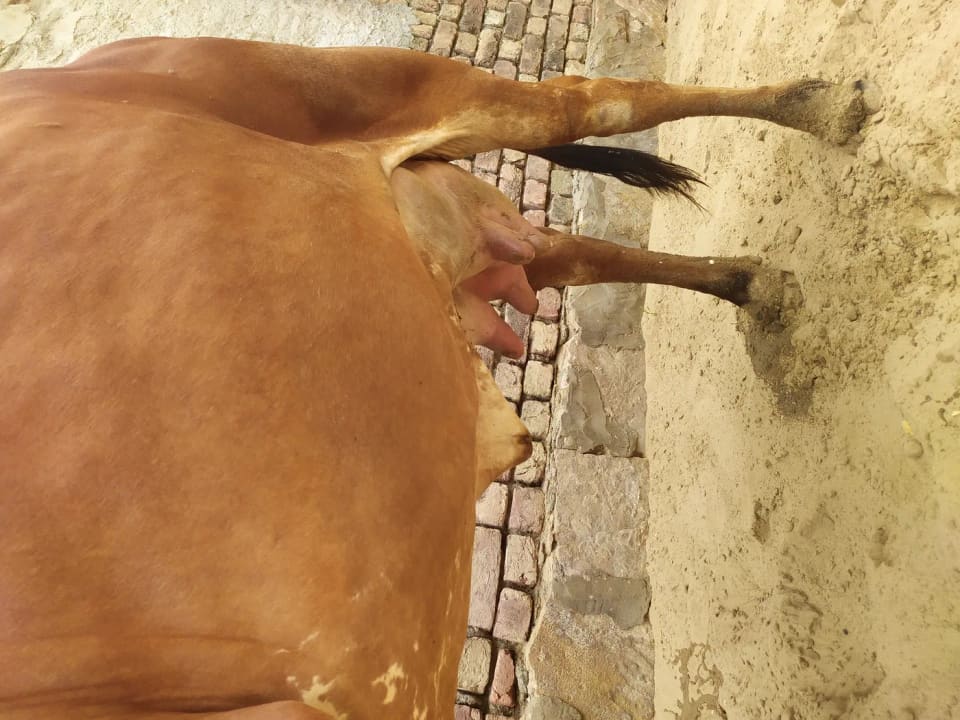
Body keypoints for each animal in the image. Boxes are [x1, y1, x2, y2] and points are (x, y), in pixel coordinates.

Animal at [0, 37, 864, 720]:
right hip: (456, 242)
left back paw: (821, 107)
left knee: (591, 102)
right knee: (572, 253)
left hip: (376, 83)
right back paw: (755, 285)